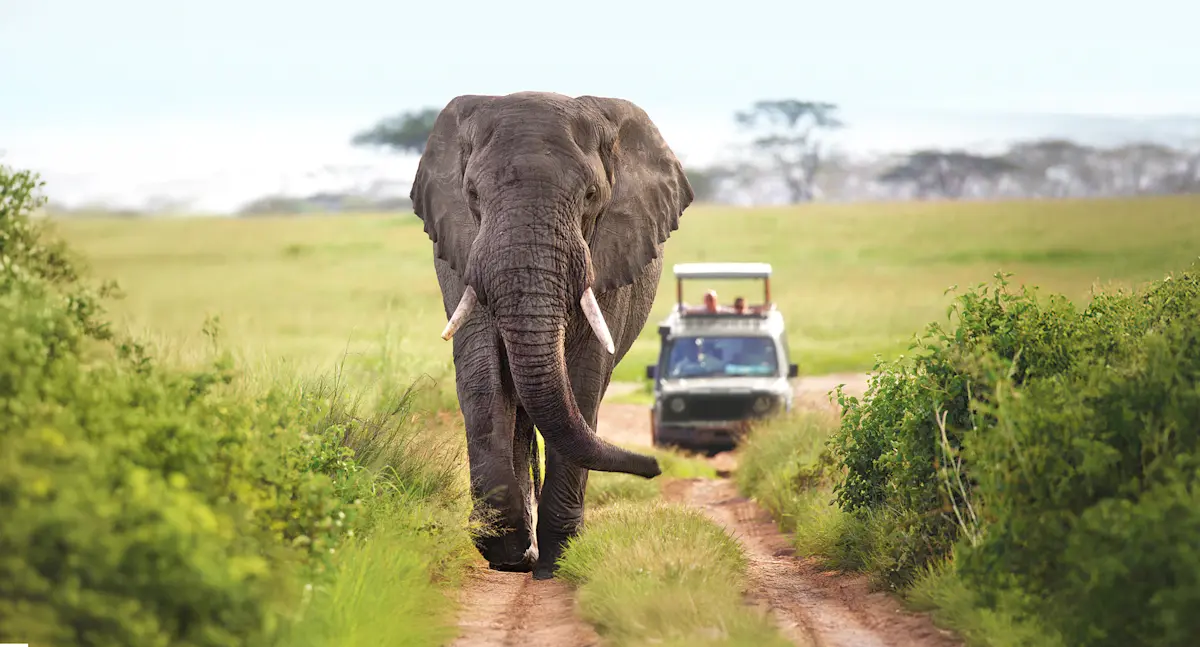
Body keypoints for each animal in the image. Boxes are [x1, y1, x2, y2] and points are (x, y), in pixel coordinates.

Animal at [409, 91, 694, 580]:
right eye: (472, 194)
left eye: (592, 196)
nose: (656, 465)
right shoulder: (460, 253)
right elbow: (482, 375)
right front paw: (503, 549)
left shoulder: (608, 257)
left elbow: (583, 378)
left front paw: (559, 557)